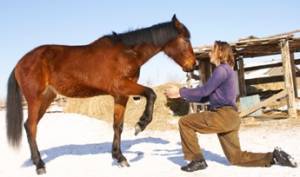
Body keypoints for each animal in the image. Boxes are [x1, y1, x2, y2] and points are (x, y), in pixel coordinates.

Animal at [5, 14, 197, 174]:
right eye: (186, 39)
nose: (193, 65)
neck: (126, 53)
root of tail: (20, 63)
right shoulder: (122, 87)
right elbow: (151, 94)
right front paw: (140, 124)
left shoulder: (121, 96)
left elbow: (118, 126)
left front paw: (119, 157)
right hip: (35, 100)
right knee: (31, 127)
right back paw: (39, 165)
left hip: (46, 99)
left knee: (29, 126)